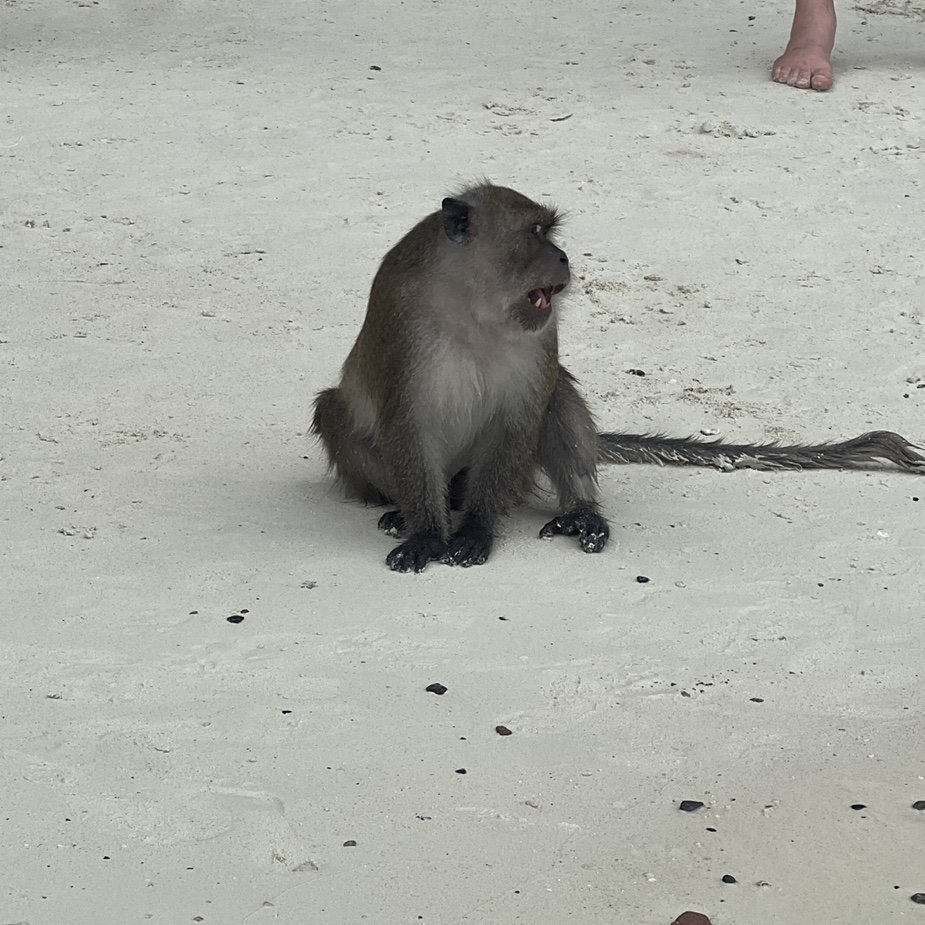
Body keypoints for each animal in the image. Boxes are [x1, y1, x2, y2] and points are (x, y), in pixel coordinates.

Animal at [312, 182, 924, 572]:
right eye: (535, 232)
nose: (561, 257)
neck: (474, 307)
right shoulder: (404, 325)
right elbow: (406, 424)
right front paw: (425, 533)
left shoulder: (541, 336)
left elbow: (521, 419)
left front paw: (478, 531)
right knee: (336, 412)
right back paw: (400, 509)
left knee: (554, 401)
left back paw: (579, 514)